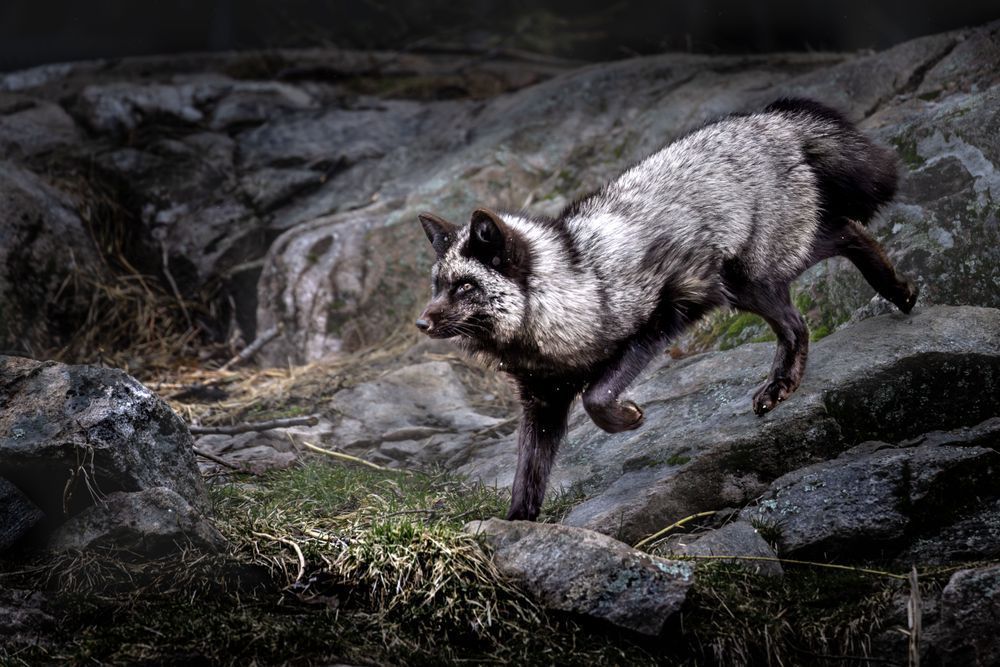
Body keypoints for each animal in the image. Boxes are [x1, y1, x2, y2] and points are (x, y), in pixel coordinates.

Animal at [415, 98, 917, 522]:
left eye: (465, 286)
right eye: (438, 285)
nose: (422, 322)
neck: (572, 292)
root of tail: (769, 121)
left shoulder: (672, 304)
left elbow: (597, 397)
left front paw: (628, 417)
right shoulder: (543, 399)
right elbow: (528, 474)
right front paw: (517, 526)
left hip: (745, 281)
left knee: (800, 319)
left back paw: (786, 381)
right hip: (759, 276)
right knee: (844, 233)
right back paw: (899, 291)